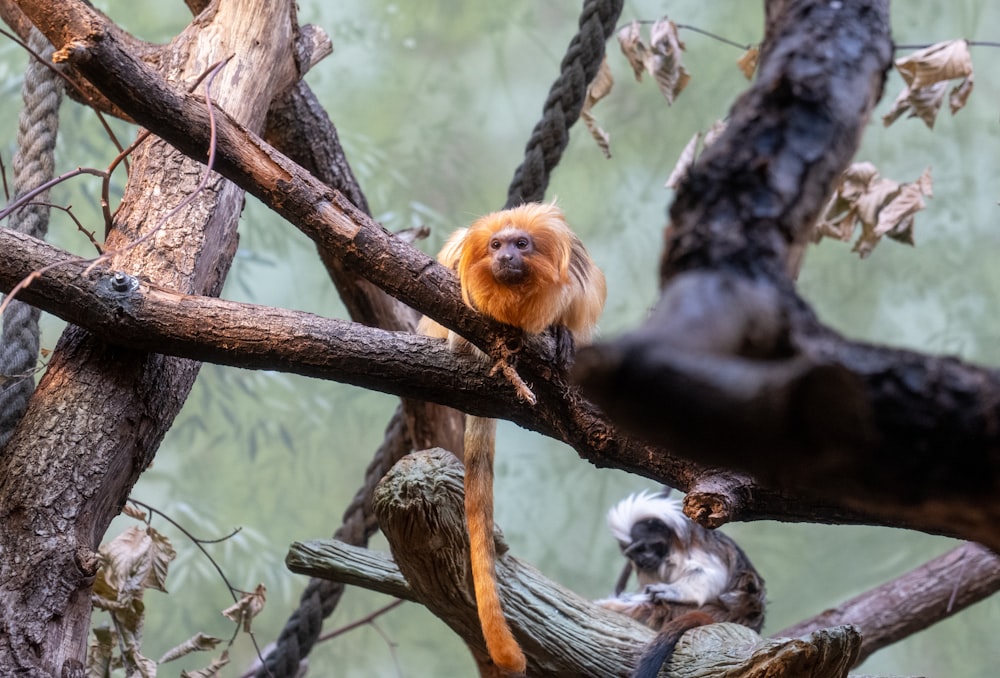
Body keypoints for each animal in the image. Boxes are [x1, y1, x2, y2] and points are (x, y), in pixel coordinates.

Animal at [592, 494, 764, 678]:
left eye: (642, 547)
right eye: (633, 553)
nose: (642, 560)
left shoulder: (699, 546)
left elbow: (711, 574)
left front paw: (670, 591)